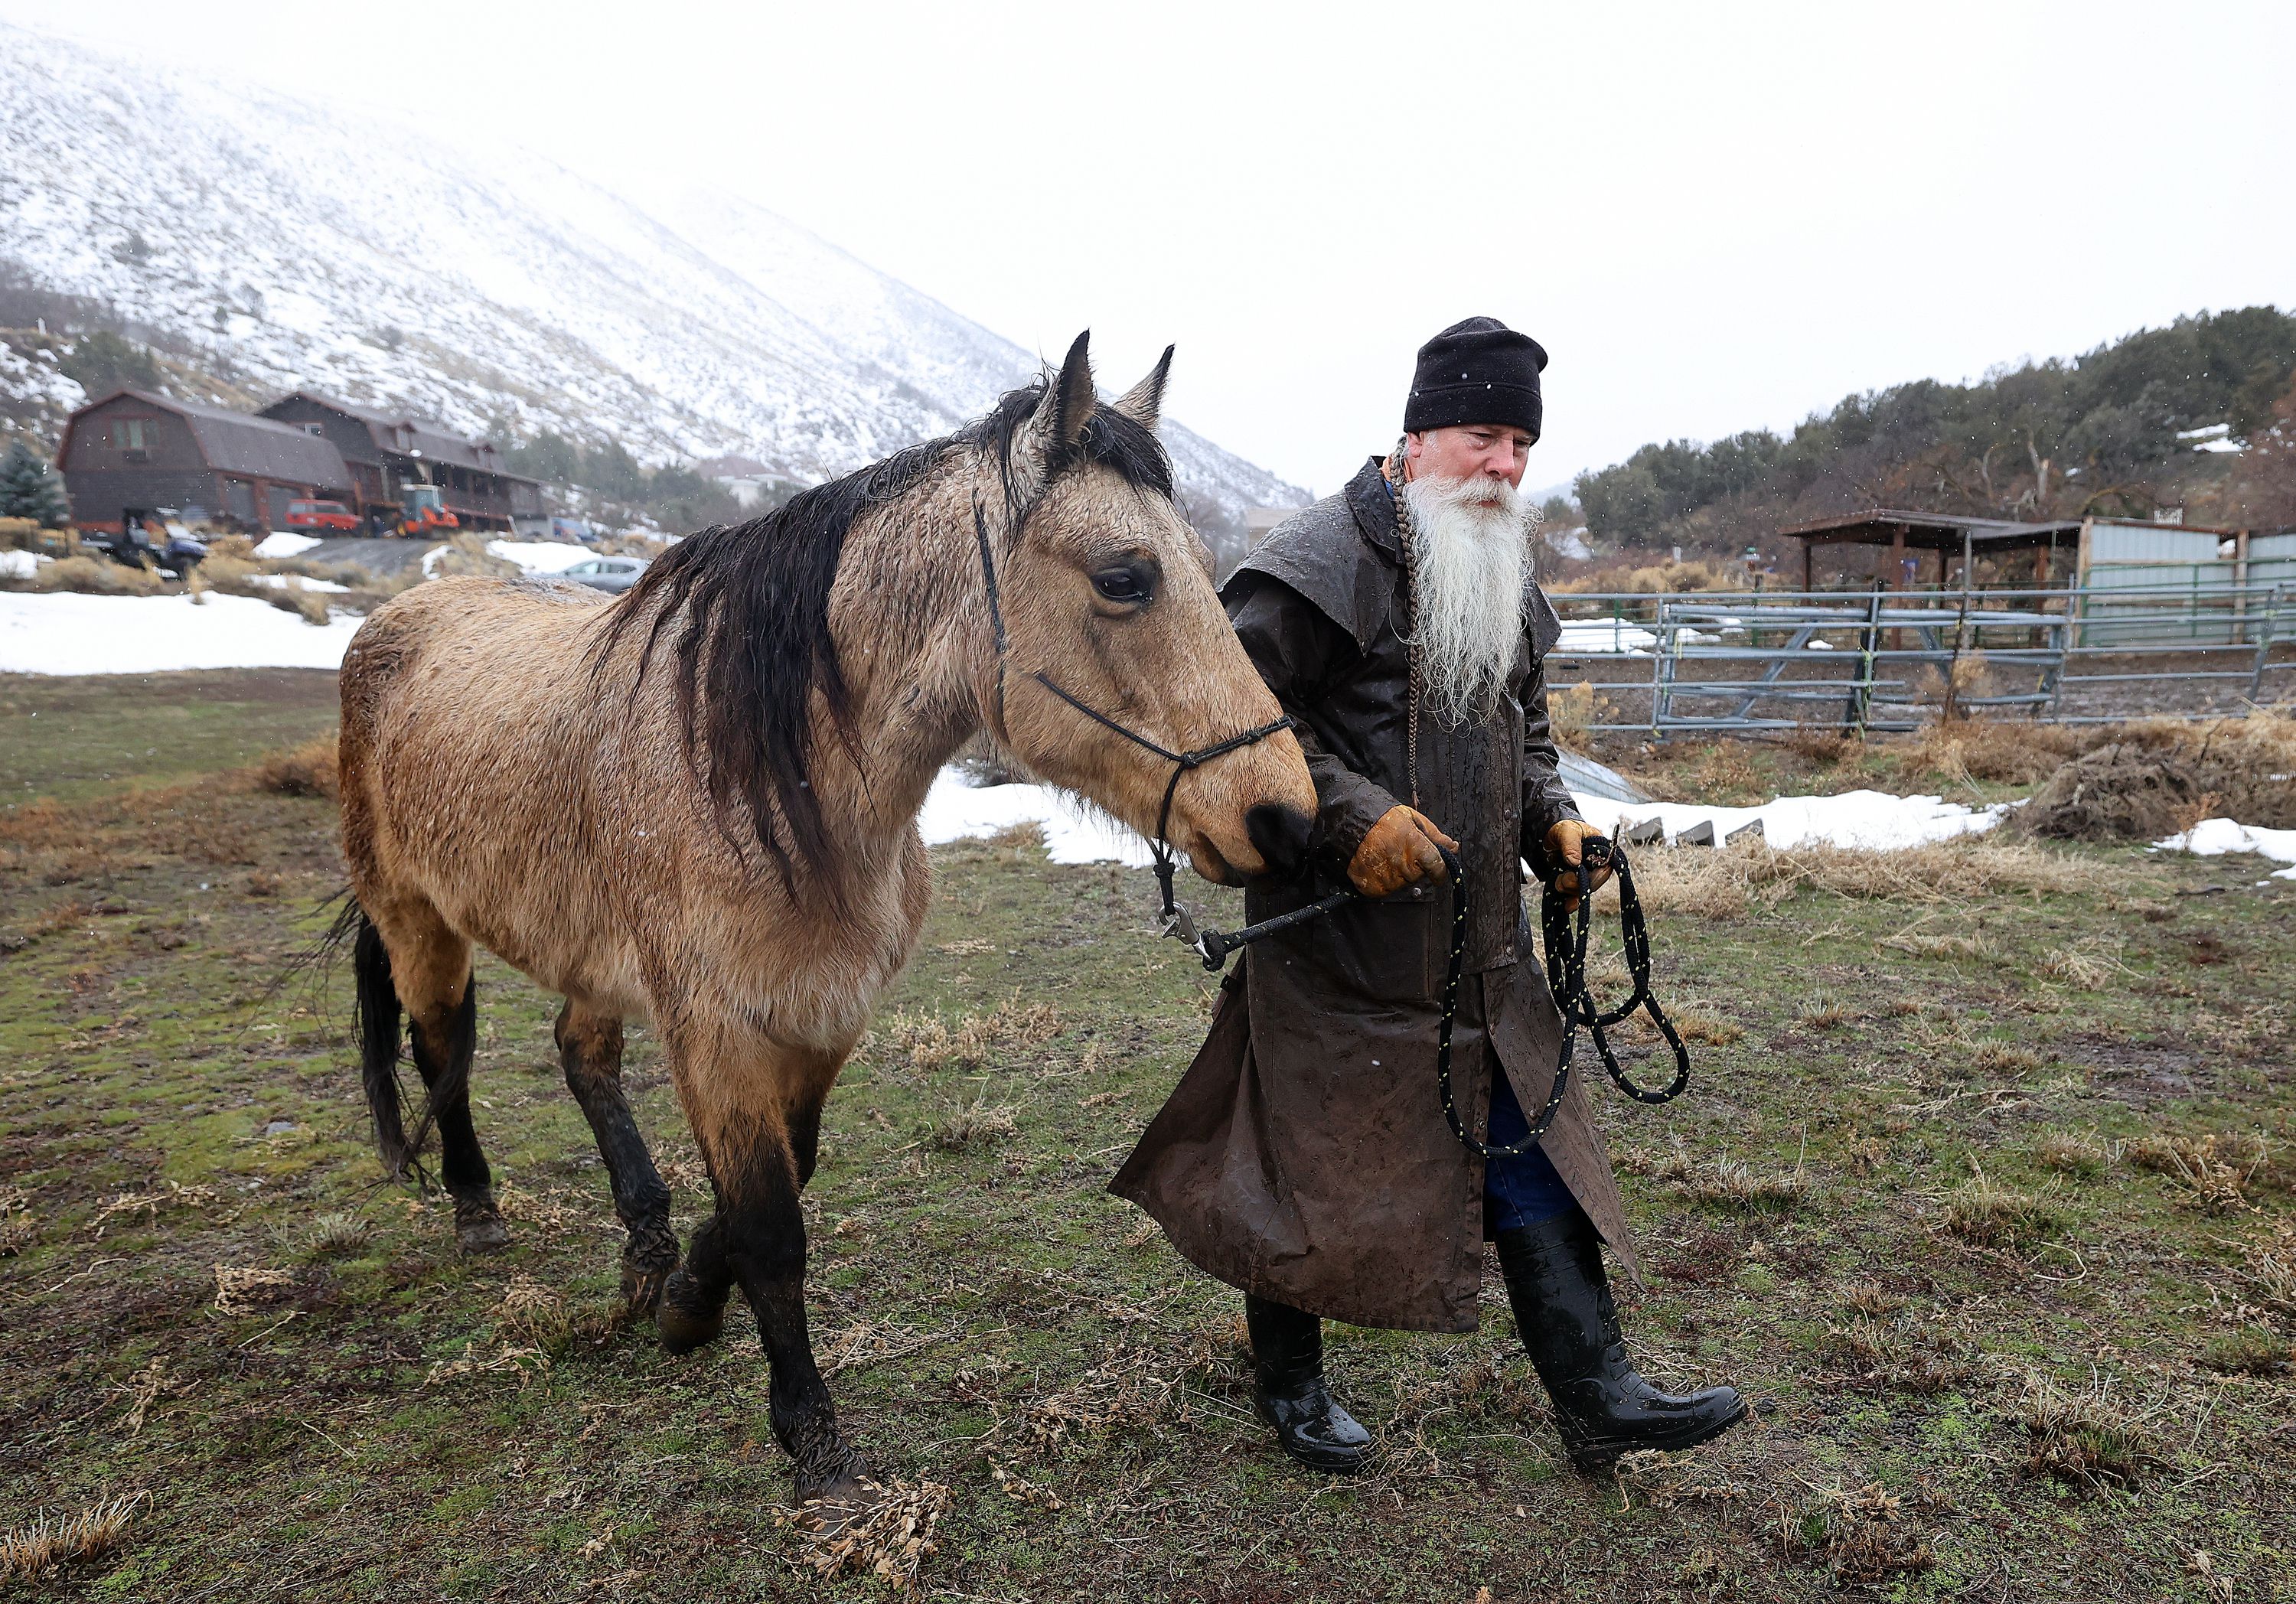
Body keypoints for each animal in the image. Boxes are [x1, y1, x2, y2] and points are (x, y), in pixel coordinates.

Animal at [335, 333, 1316, 1502]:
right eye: (1125, 578)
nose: (1285, 814)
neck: (764, 778)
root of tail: (394, 618)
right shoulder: (716, 1031)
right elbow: (769, 1225)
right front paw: (811, 1438)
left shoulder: (821, 1016)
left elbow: (777, 1185)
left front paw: (686, 1301)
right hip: (417, 921)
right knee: (444, 1048)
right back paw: (478, 1209)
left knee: (580, 1053)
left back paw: (644, 1244)